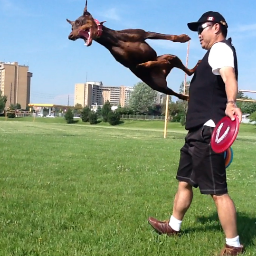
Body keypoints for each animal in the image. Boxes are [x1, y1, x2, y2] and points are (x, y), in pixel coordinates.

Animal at [67, 0, 199, 100]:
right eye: (72, 27)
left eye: (79, 22)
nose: (70, 36)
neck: (116, 40)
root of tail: (163, 73)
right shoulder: (130, 64)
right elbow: (144, 64)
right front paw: (147, 64)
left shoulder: (144, 34)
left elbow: (166, 37)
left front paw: (182, 38)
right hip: (158, 86)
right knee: (177, 85)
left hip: (167, 67)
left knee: (180, 66)